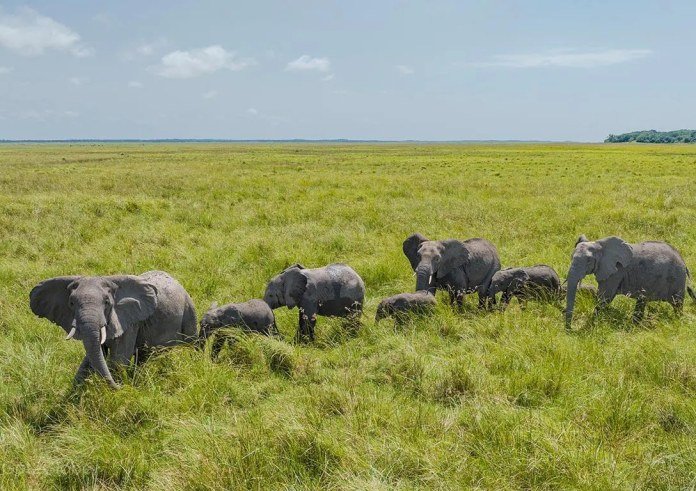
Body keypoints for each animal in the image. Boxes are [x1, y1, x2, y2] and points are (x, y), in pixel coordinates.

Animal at [30, 270, 197, 389]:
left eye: (106, 302)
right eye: (71, 303)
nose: (122, 387)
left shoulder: (129, 322)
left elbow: (118, 360)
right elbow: (94, 357)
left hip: (189, 309)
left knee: (191, 342)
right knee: (143, 355)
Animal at [565, 235, 695, 327]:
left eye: (588, 260)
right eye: (571, 257)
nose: (569, 329)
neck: (600, 244)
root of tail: (684, 263)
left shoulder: (616, 271)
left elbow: (604, 298)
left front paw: (592, 324)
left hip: (677, 279)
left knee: (677, 304)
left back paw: (677, 321)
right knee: (642, 301)